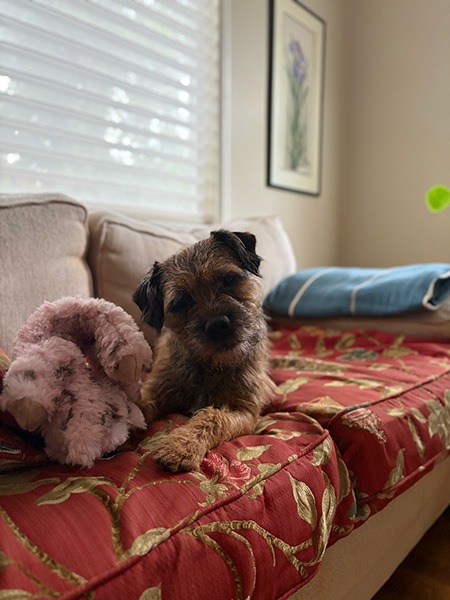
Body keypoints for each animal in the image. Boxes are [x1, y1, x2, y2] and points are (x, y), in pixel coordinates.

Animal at [133, 229, 274, 472]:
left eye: (228, 279)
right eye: (181, 302)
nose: (217, 325)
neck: (209, 365)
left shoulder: (244, 410)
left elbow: (213, 416)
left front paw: (182, 446)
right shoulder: (157, 388)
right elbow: (141, 404)